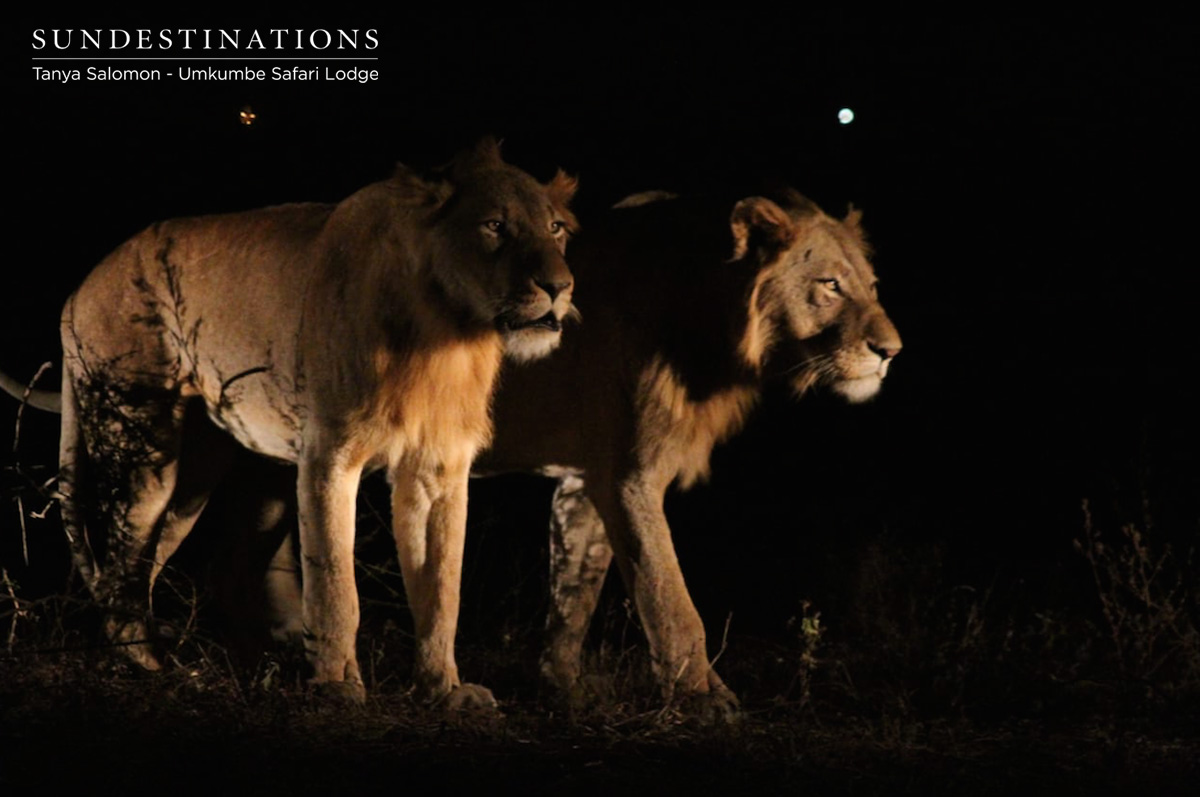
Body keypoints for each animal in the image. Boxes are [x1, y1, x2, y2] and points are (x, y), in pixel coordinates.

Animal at [50, 138, 578, 707]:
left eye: (555, 228)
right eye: (495, 226)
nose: (559, 286)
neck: (446, 329)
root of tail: (77, 292)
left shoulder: (437, 467)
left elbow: (441, 589)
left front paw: (444, 689)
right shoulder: (329, 452)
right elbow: (334, 583)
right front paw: (336, 684)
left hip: (195, 472)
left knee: (152, 556)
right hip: (142, 445)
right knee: (122, 556)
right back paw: (139, 664)